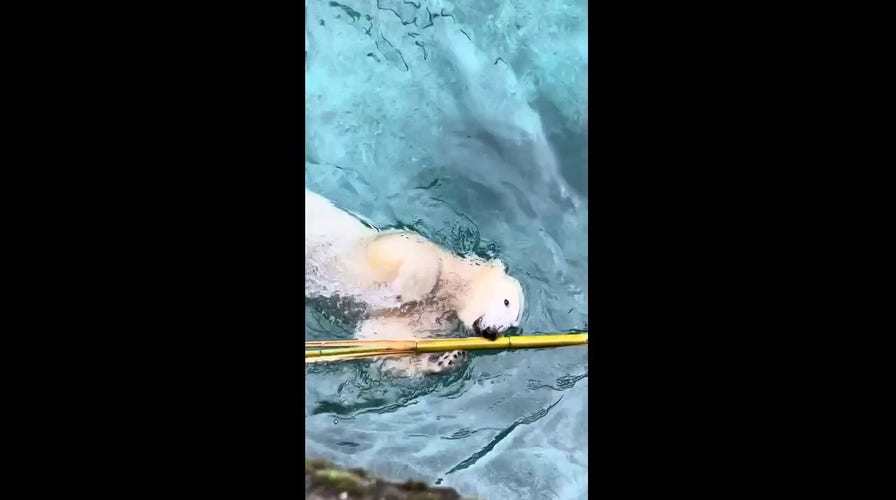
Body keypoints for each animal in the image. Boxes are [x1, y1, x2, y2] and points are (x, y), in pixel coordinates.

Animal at [305, 188, 525, 376]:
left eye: (511, 326)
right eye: (507, 302)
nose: (493, 332)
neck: (450, 291)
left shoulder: (426, 316)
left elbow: (380, 333)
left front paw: (447, 359)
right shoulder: (405, 245)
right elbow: (406, 250)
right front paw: (405, 292)